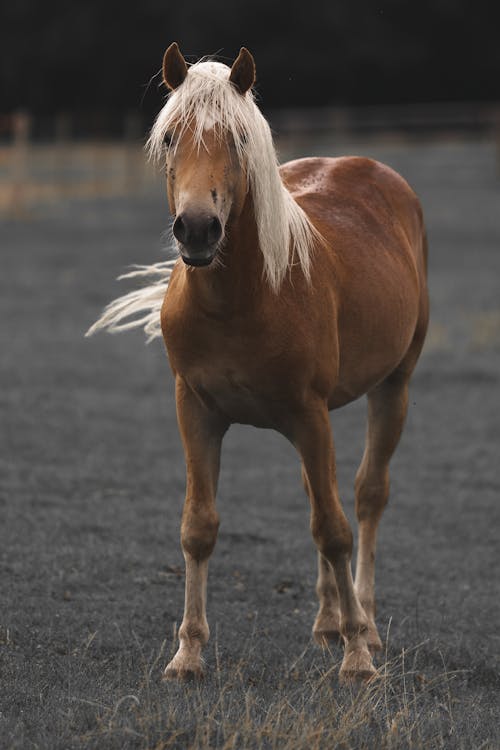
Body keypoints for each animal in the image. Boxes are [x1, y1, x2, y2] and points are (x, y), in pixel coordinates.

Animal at [87, 44, 430, 684]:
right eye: (169, 137)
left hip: (393, 386)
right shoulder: (196, 410)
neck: (242, 299)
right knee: (321, 493)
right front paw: (188, 655)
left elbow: (336, 530)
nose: (198, 228)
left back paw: (365, 625)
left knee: (366, 497)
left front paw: (357, 659)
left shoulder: (311, 413)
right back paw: (327, 622)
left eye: (239, 139)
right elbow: (199, 528)